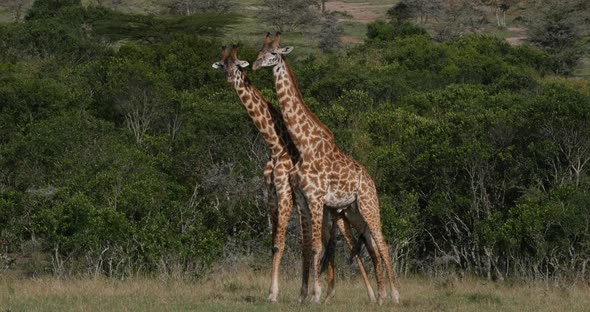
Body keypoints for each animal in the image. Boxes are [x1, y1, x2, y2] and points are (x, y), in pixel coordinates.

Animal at [213, 47, 376, 304]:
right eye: (223, 64)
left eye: (237, 65)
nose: (229, 78)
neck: (276, 144)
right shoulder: (272, 194)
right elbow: (280, 244)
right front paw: (297, 292)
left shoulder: (287, 193)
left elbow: (291, 244)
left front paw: (276, 294)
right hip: (333, 212)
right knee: (341, 241)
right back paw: (332, 294)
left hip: (339, 211)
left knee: (353, 241)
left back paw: (369, 294)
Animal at [254, 33, 402, 304]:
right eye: (260, 50)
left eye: (273, 54)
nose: (257, 64)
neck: (304, 145)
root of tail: (371, 180)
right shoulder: (303, 199)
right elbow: (310, 246)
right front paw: (306, 295)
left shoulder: (315, 197)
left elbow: (315, 247)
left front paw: (315, 295)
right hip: (353, 211)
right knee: (372, 244)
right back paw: (380, 296)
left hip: (368, 205)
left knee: (382, 243)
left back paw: (395, 296)